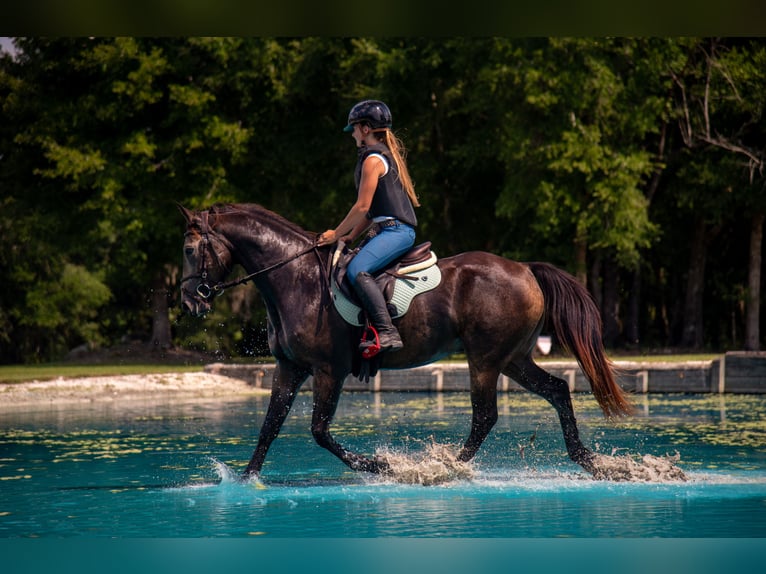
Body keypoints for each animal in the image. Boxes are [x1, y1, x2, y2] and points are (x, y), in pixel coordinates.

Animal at [179, 202, 634, 480]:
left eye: (189, 250)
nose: (189, 301)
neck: (296, 280)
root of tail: (524, 268)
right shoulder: (288, 368)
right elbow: (269, 427)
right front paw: (245, 479)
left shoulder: (328, 371)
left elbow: (320, 431)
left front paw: (380, 466)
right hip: (514, 359)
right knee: (557, 391)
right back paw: (588, 462)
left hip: (485, 360)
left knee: (485, 417)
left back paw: (443, 468)